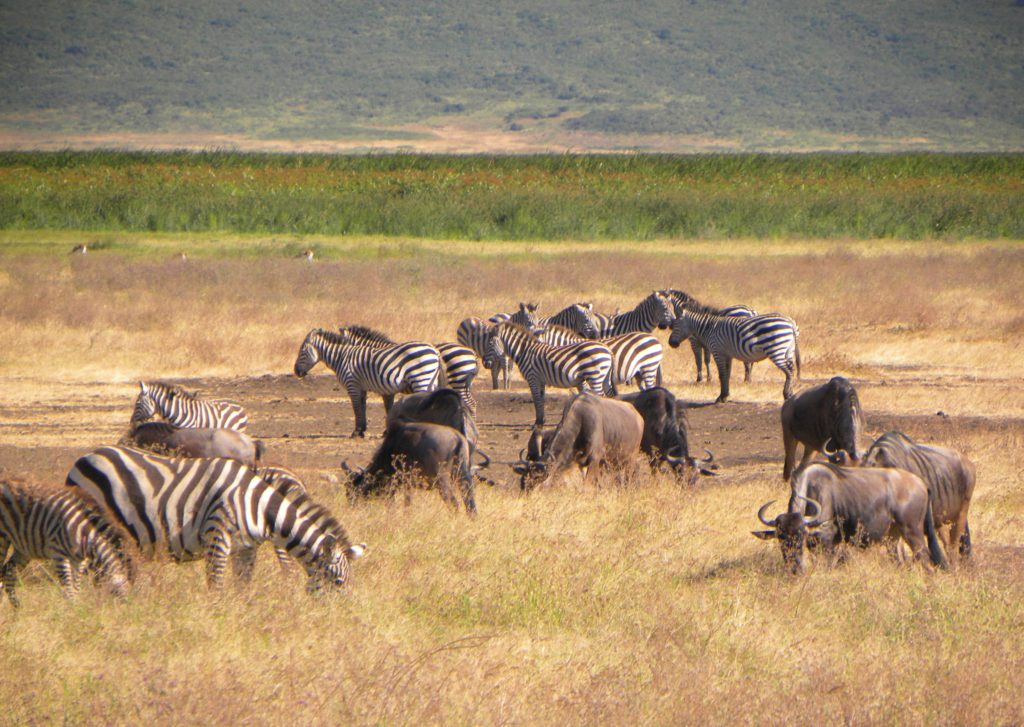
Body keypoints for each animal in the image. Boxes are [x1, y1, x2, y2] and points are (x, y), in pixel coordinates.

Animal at [0, 483, 132, 610]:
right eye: (121, 596)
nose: (126, 612)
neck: (84, 534)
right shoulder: (59, 554)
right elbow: (69, 590)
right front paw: (73, 612)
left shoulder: (79, 561)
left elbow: (75, 588)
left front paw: (77, 610)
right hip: (3, 539)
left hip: (25, 548)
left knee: (8, 570)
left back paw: (16, 606)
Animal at [62, 446, 360, 593]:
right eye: (339, 582)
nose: (335, 621)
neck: (258, 504)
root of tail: (83, 459)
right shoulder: (217, 534)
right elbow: (215, 586)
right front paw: (218, 620)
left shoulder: (245, 547)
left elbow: (243, 587)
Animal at [294, 329, 442, 438]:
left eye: (302, 351)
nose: (296, 371)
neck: (342, 357)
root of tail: (434, 350)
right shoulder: (363, 387)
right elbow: (363, 406)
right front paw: (362, 430)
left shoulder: (352, 384)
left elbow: (356, 408)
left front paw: (356, 432)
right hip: (430, 381)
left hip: (420, 378)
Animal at [667, 303, 802, 401]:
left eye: (675, 325)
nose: (670, 343)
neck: (708, 328)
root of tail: (790, 322)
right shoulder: (727, 355)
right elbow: (727, 374)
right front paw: (726, 394)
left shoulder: (717, 351)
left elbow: (721, 374)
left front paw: (721, 397)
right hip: (788, 351)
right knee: (792, 369)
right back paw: (791, 393)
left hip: (776, 349)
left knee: (789, 371)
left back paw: (786, 394)